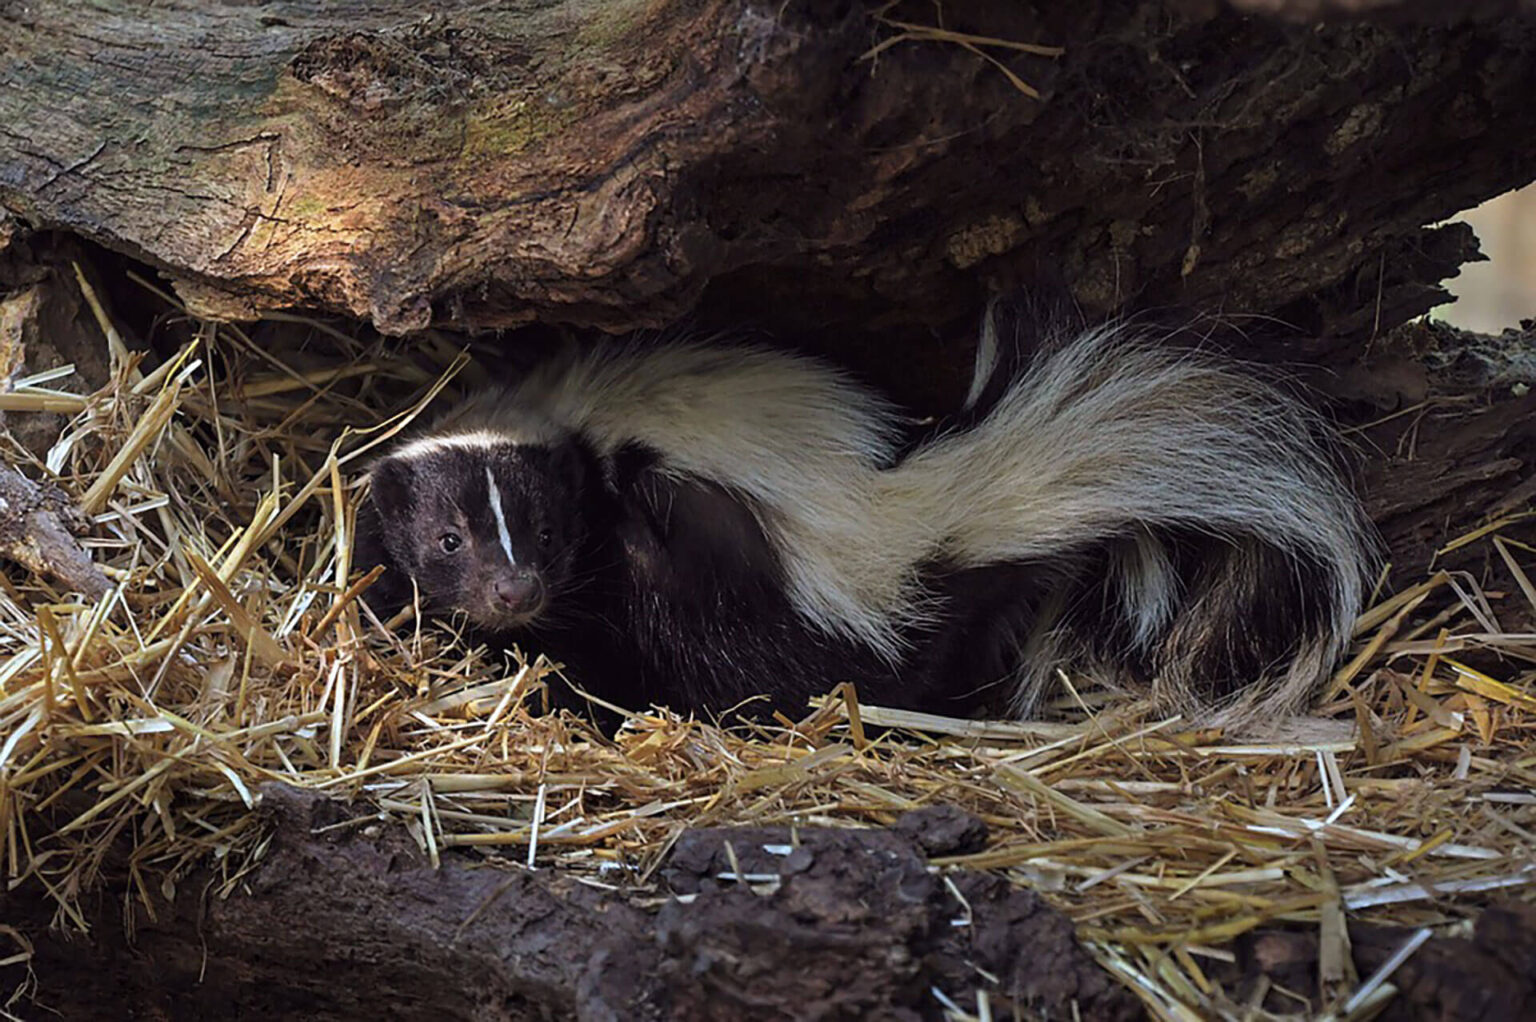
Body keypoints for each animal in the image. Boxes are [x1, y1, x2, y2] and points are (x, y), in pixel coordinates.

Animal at [359, 301, 1382, 725]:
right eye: (448, 539)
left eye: (546, 532)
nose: (513, 592)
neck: (559, 415)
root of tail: (912, 511)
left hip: (729, 583)